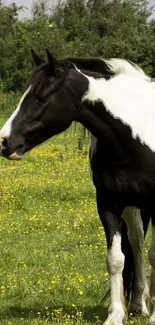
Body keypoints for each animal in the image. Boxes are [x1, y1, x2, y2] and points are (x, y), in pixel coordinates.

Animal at [0, 49, 155, 322]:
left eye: (41, 96)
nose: (4, 141)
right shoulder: (109, 204)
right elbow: (116, 259)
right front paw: (115, 316)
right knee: (136, 242)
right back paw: (138, 304)